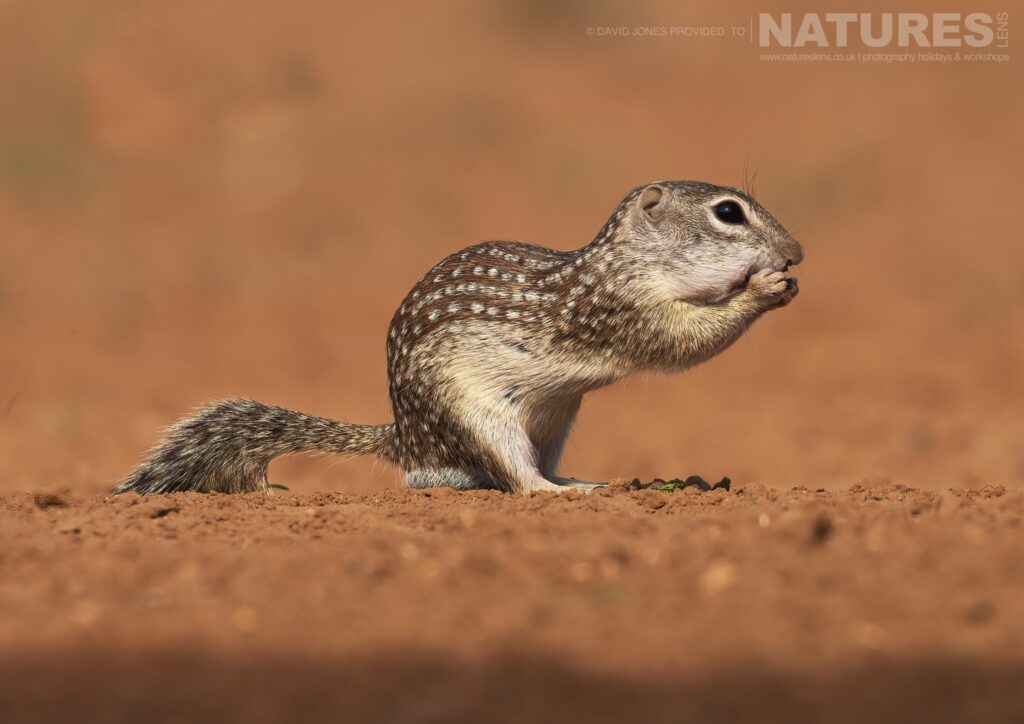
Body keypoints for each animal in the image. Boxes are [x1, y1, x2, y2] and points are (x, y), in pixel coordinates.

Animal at [116, 181, 802, 497]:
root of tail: (405, 439)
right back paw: (559, 494)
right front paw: (764, 289)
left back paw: (581, 480)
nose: (796, 252)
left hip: (554, 423)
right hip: (478, 418)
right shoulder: (621, 311)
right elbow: (682, 341)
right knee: (515, 481)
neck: (627, 262)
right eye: (728, 212)